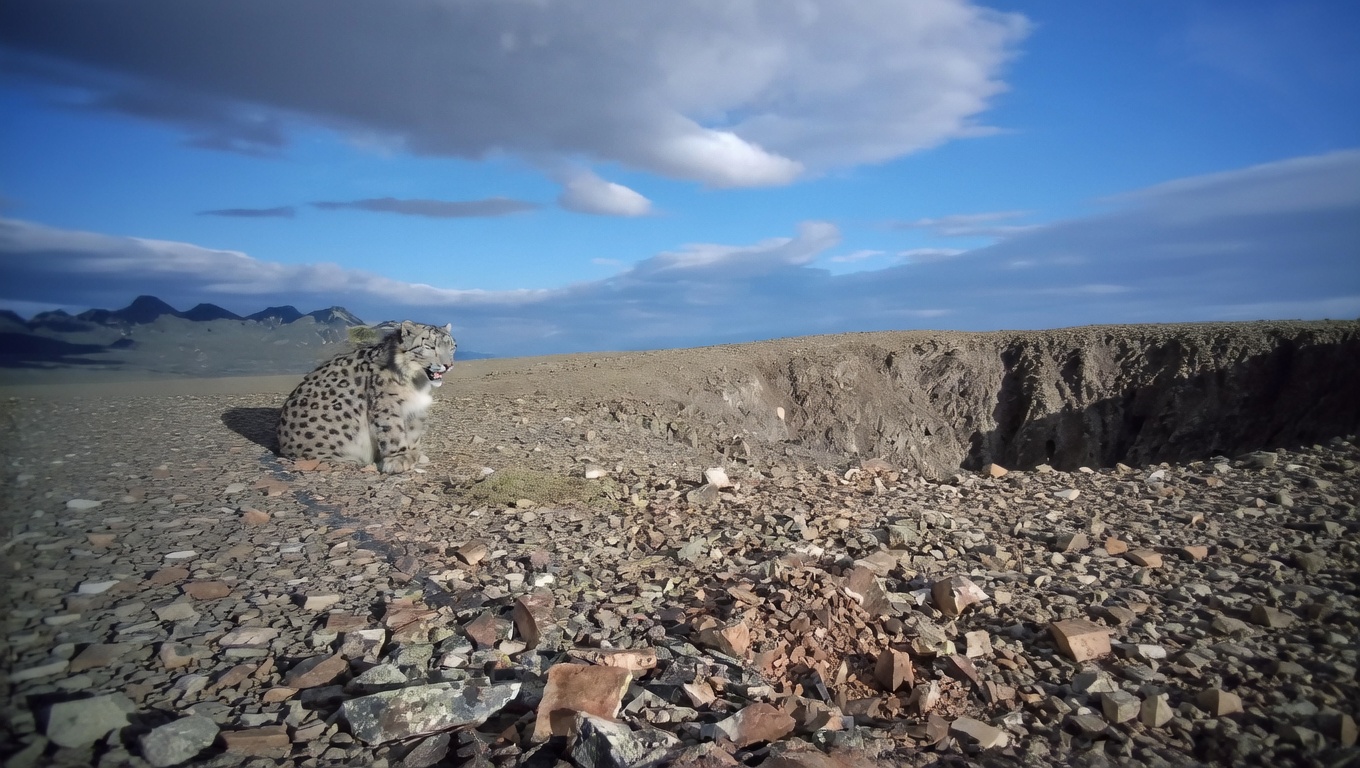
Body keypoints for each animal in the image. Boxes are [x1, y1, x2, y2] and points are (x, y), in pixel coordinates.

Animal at [277, 320, 456, 473]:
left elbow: (413, 433)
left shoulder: (415, 409)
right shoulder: (386, 403)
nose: (449, 365)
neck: (417, 383)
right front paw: (398, 459)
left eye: (453, 347)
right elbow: (393, 431)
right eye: (430, 346)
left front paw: (414, 454)